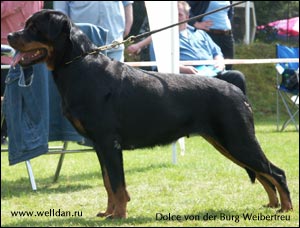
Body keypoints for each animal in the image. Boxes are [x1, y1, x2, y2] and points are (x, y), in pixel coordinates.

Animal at [8, 9, 292, 218]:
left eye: (34, 27)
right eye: (26, 24)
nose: (10, 35)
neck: (78, 65)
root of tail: (237, 91)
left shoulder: (109, 143)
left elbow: (117, 183)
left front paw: (118, 215)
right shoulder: (99, 145)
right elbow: (108, 182)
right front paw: (108, 212)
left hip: (237, 139)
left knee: (276, 172)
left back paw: (286, 209)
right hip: (227, 142)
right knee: (264, 174)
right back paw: (272, 205)